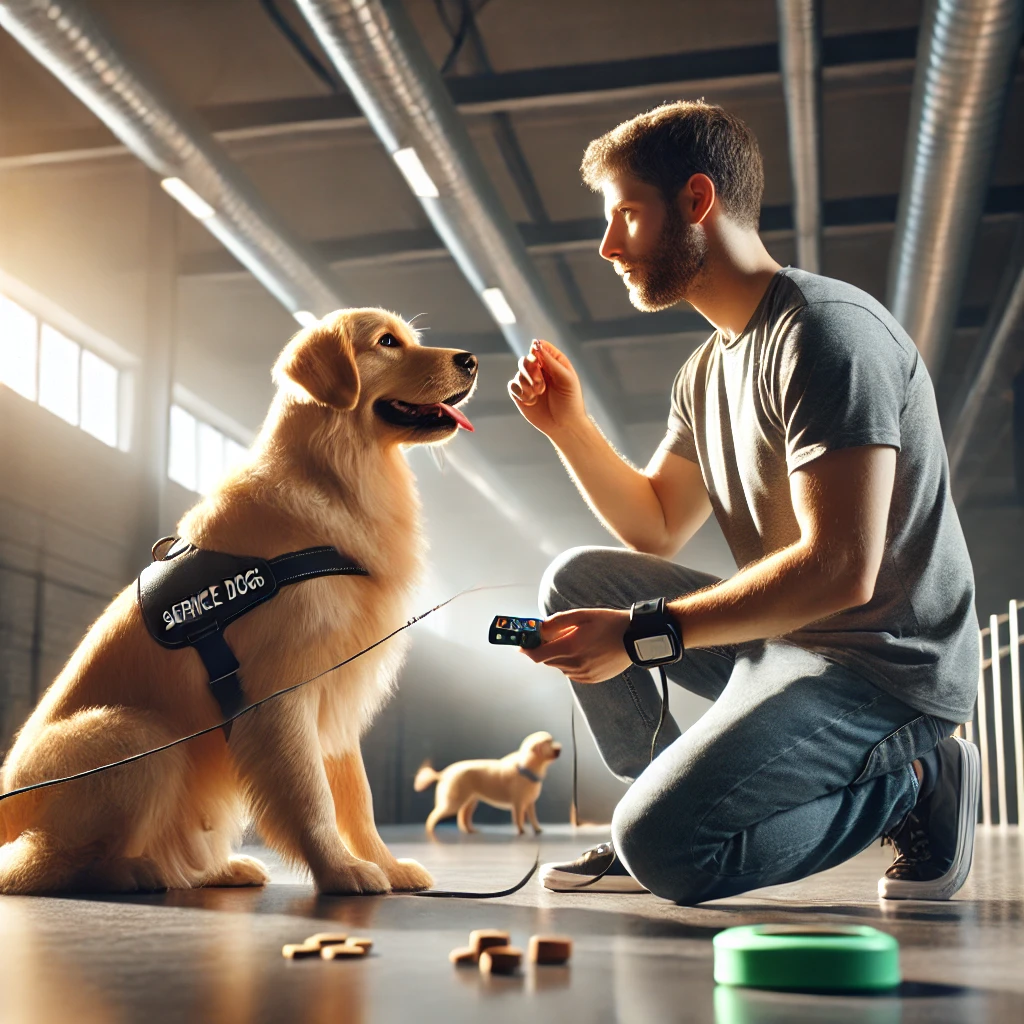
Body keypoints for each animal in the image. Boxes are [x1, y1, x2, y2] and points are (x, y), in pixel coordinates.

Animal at [0, 305, 477, 897]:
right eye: (387, 342)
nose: (471, 360)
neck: (335, 476)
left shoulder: (336, 697)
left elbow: (358, 801)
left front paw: (386, 866)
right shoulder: (278, 696)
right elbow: (312, 797)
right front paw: (339, 871)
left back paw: (216, 869)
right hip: (141, 736)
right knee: (55, 862)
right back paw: (139, 870)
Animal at [413, 733, 561, 835]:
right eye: (549, 742)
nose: (560, 748)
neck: (525, 769)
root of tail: (443, 773)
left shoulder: (529, 803)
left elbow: (533, 817)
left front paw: (537, 830)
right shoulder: (518, 803)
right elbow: (518, 818)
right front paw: (521, 832)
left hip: (470, 801)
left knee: (463, 816)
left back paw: (470, 830)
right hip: (453, 802)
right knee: (433, 816)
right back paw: (430, 831)